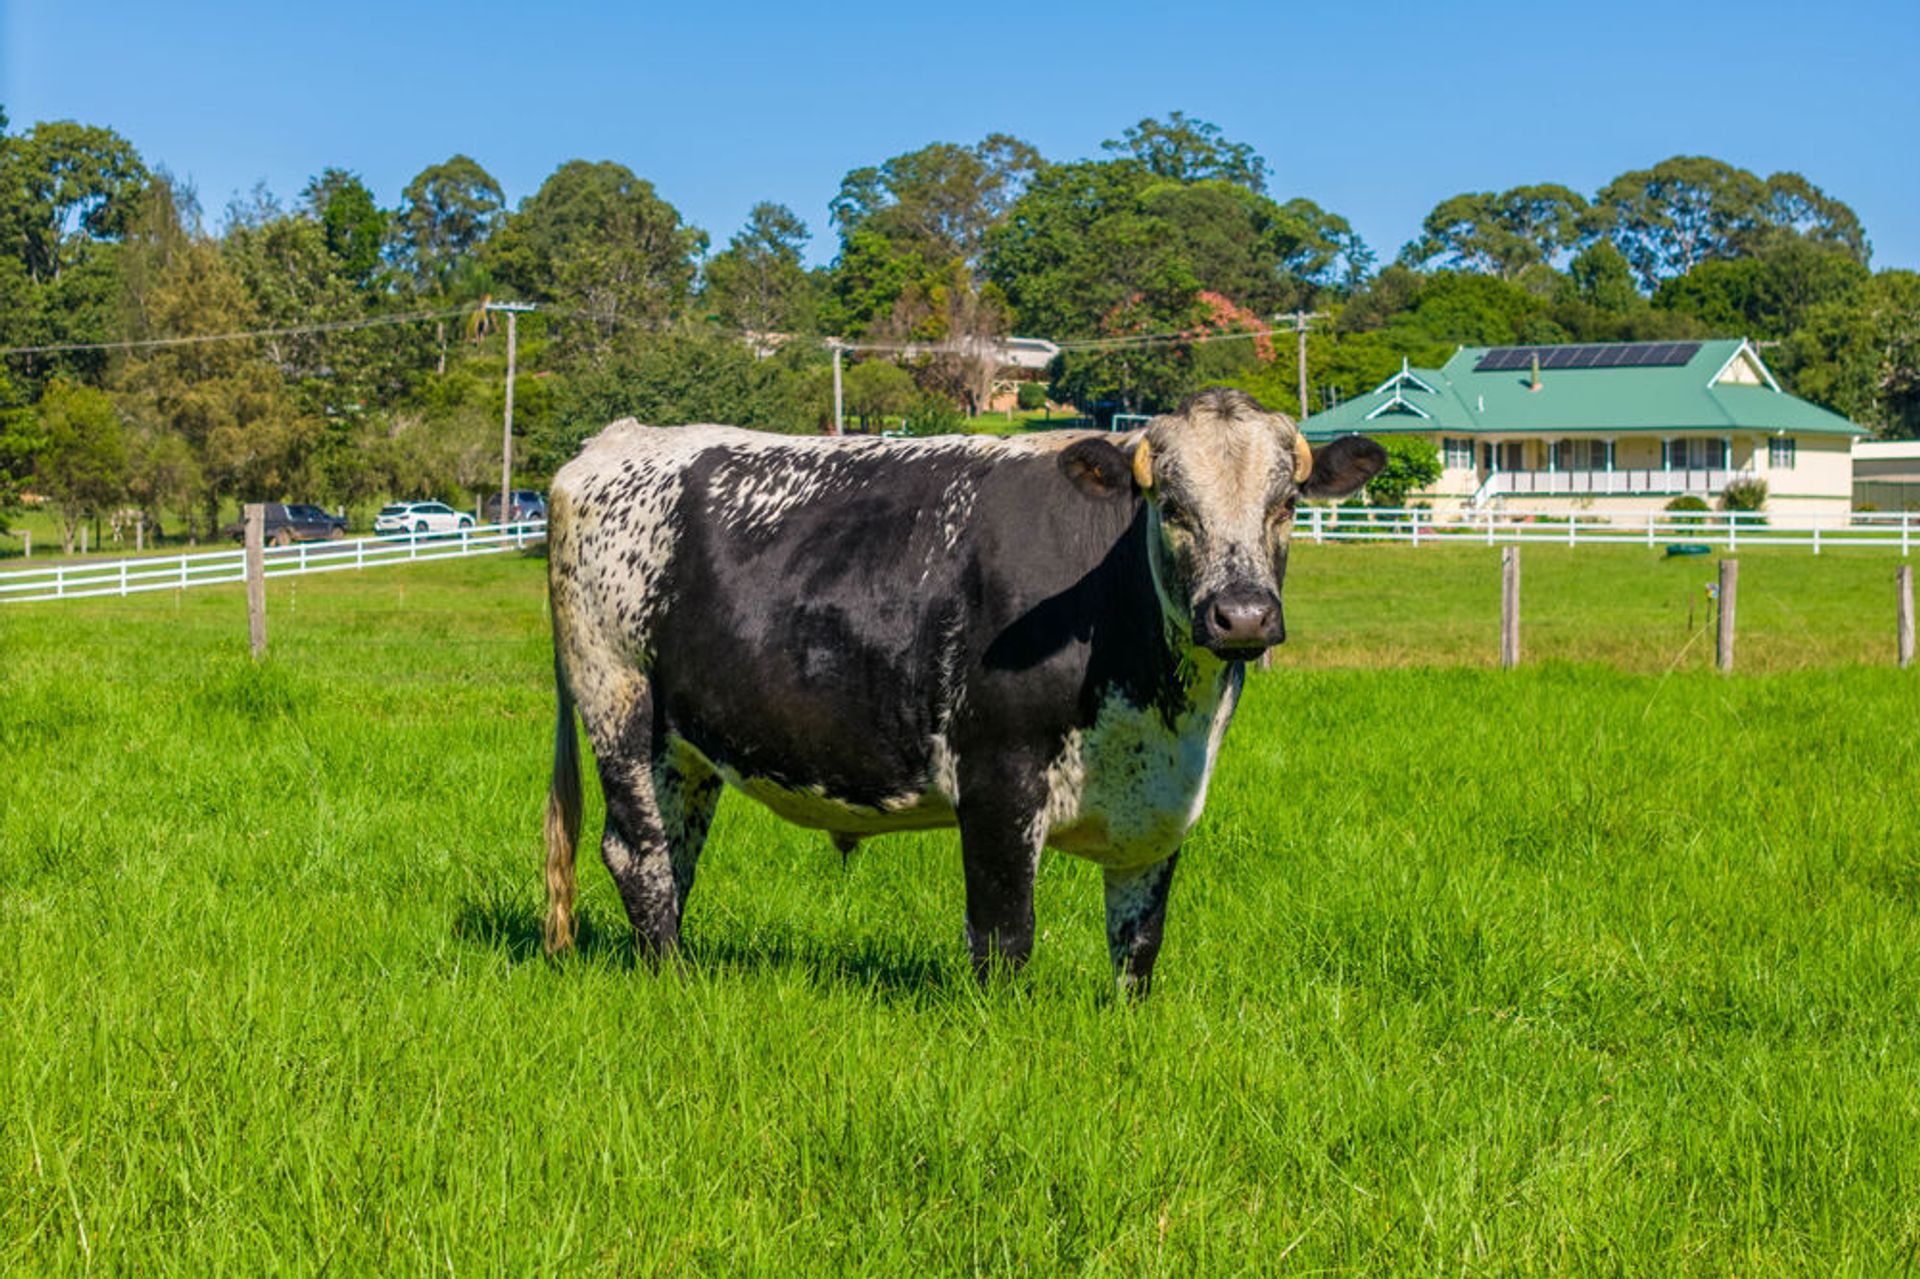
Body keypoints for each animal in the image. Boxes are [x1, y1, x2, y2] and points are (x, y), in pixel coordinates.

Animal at [541, 387, 1384, 994]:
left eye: (1287, 504)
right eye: (1173, 507)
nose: (1242, 614)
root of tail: (614, 443)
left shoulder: (1159, 805)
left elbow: (1137, 945)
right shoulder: (996, 779)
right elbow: (1004, 935)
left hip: (682, 746)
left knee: (677, 851)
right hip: (617, 700)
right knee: (640, 854)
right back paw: (674, 983)